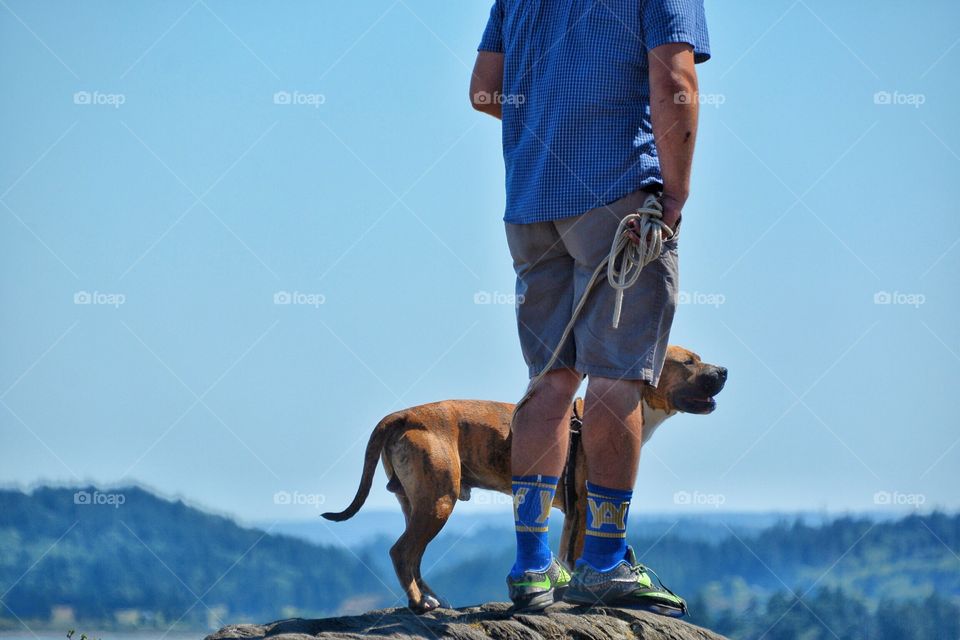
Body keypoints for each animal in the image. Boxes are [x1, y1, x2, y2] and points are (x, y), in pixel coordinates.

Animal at [320, 348, 720, 612]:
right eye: (688, 362)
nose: (724, 371)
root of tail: (403, 415)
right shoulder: (585, 504)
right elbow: (577, 552)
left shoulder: (574, 510)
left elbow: (568, 552)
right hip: (438, 500)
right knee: (402, 552)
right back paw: (421, 604)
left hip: (417, 501)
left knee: (413, 556)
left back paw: (431, 598)